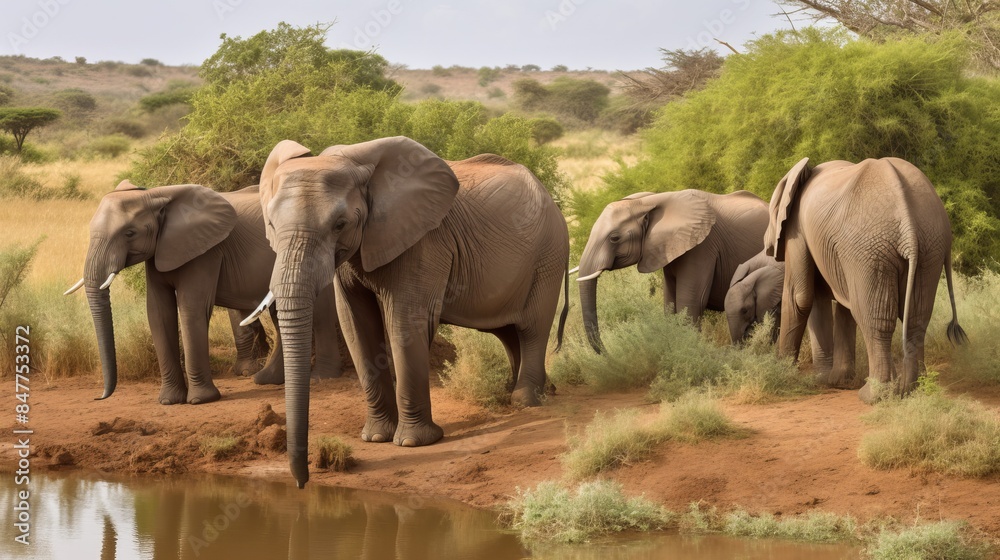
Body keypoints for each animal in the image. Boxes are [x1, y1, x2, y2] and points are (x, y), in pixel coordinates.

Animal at [66, 181, 341, 405]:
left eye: (130, 233)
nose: (100, 397)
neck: (155, 195)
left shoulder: (207, 251)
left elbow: (192, 308)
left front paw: (201, 400)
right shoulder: (160, 251)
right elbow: (158, 313)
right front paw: (169, 401)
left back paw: (322, 379)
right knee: (279, 313)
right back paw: (266, 380)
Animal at [245, 136, 569, 488]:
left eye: (340, 224)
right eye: (271, 224)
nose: (302, 483)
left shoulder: (425, 242)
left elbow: (405, 320)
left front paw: (414, 442)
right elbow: (355, 324)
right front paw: (375, 438)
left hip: (548, 256)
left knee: (531, 328)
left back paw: (526, 400)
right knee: (508, 333)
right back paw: (530, 392)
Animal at [576, 189, 769, 352]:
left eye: (614, 238)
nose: (607, 353)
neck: (650, 200)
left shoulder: (702, 247)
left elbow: (691, 303)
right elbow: (670, 303)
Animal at [764, 157, 967, 402]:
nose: (766, 245)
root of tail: (908, 223)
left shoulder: (797, 229)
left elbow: (800, 297)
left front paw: (783, 371)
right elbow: (836, 301)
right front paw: (834, 381)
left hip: (869, 249)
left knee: (873, 318)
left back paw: (873, 395)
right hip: (929, 245)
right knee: (916, 319)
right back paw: (911, 391)